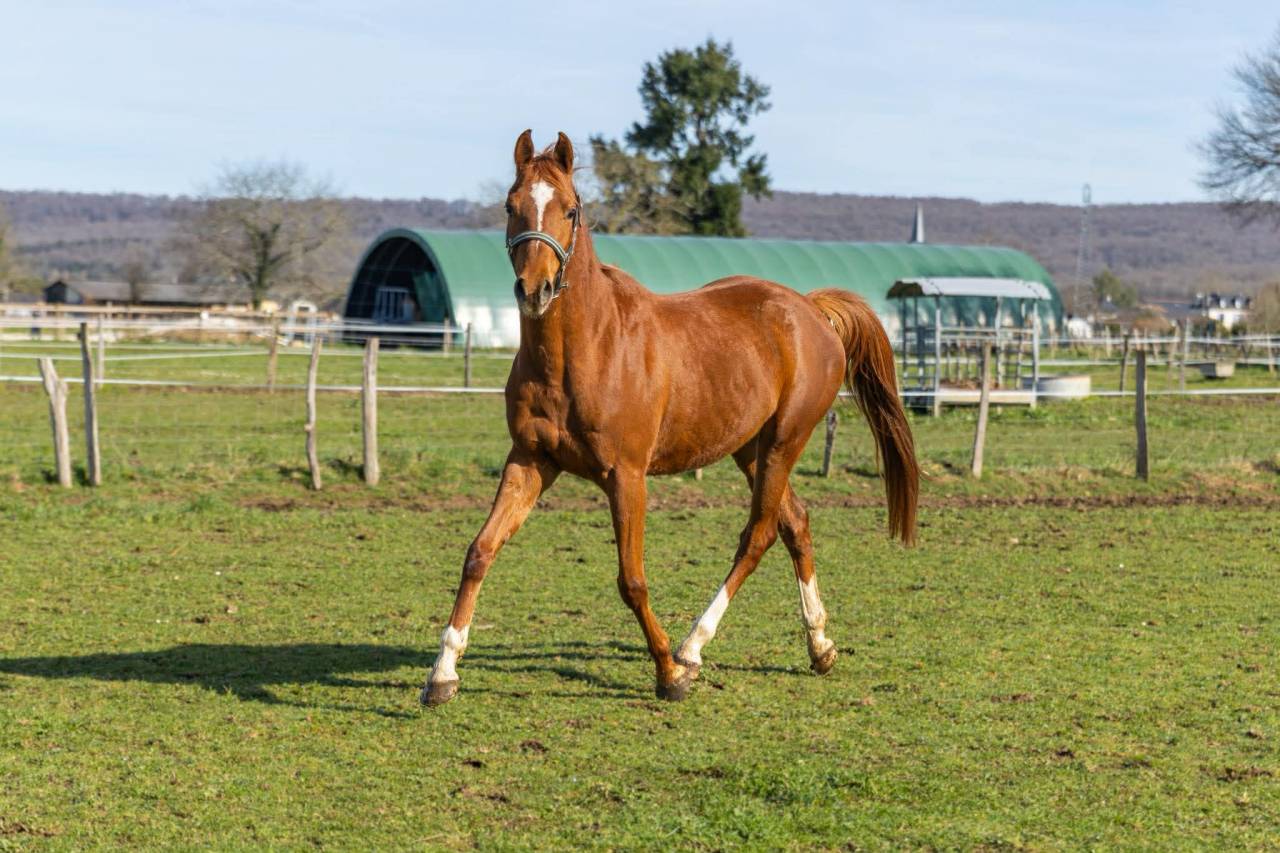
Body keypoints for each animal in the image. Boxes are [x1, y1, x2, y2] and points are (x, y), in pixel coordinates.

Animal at [421, 130, 918, 706]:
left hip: (783, 443)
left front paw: (667, 673)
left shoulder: (627, 476)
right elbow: (480, 551)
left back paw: (692, 649)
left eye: (570, 210)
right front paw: (442, 673)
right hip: (750, 449)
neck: (584, 349)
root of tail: (810, 309)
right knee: (794, 523)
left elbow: (631, 579)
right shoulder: (529, 461)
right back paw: (819, 646)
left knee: (758, 535)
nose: (534, 290)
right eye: (510, 205)